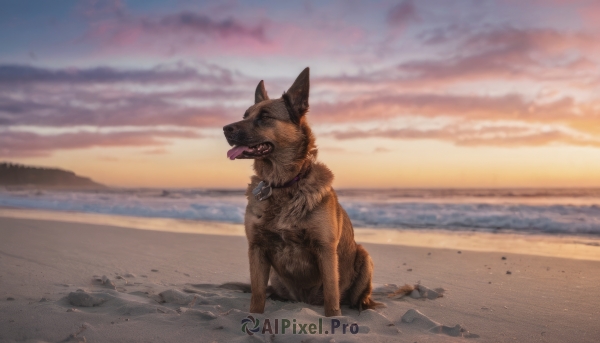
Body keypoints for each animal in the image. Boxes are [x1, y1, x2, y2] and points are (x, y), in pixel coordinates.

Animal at [223, 67, 378, 318]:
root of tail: (305, 300)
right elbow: (257, 296)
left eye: (264, 116)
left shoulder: (325, 250)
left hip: (364, 256)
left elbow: (332, 297)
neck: (283, 184)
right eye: (245, 115)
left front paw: (334, 318)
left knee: (358, 296)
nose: (225, 129)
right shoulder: (256, 248)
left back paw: (364, 305)